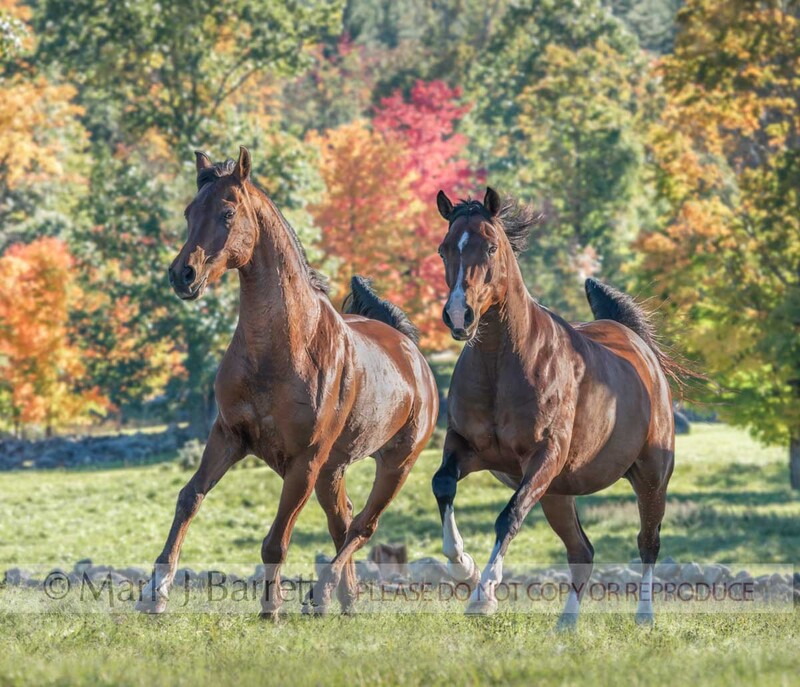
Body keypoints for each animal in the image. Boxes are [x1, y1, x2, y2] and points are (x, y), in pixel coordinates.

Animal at [136, 146, 438, 618]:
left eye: (227, 212)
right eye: (189, 212)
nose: (182, 275)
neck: (282, 348)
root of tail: (411, 353)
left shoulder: (304, 462)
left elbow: (276, 541)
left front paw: (271, 608)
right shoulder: (228, 436)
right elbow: (189, 498)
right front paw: (155, 594)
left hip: (396, 463)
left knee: (363, 526)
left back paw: (321, 595)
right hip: (334, 470)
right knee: (343, 520)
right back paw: (342, 602)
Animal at [432, 187, 686, 629]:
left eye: (491, 246)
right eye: (444, 248)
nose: (459, 315)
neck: (501, 362)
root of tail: (637, 345)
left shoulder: (543, 456)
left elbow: (509, 516)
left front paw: (484, 595)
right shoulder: (468, 448)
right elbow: (443, 484)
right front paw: (463, 567)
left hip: (651, 477)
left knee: (648, 543)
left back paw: (644, 616)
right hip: (556, 492)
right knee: (581, 551)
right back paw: (566, 623)